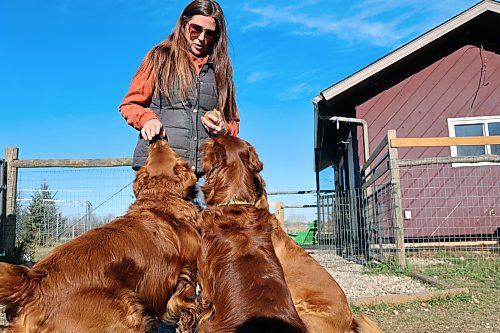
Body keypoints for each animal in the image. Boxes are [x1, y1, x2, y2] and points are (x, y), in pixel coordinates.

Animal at [0, 140, 199, 332]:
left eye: (152, 156)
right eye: (171, 151)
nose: (157, 140)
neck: (160, 197)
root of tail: (35, 283)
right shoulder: (189, 272)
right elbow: (189, 311)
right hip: (129, 318)